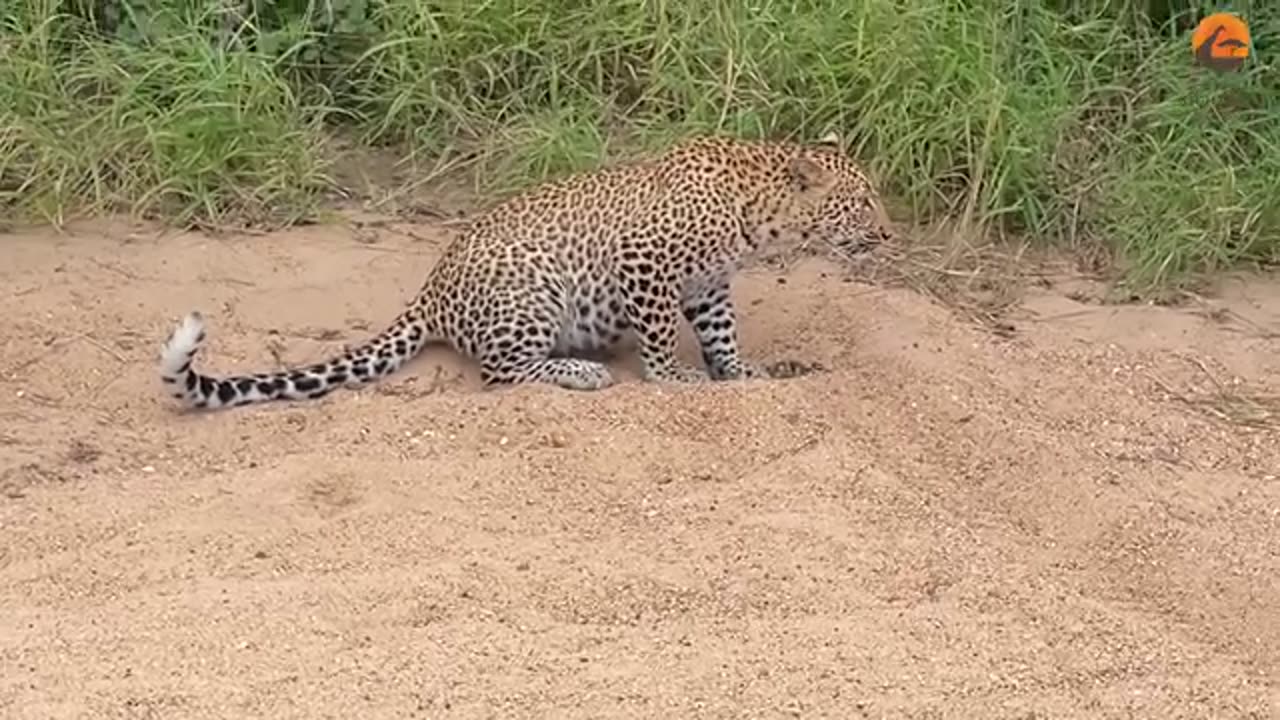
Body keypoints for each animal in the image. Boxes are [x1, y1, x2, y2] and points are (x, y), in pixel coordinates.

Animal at [157, 131, 890, 407]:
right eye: (861, 203)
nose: (889, 233)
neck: (758, 214)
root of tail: (430, 292)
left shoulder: (707, 284)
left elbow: (723, 334)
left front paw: (740, 373)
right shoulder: (643, 259)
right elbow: (658, 336)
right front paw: (674, 377)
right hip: (533, 295)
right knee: (499, 371)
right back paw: (581, 372)